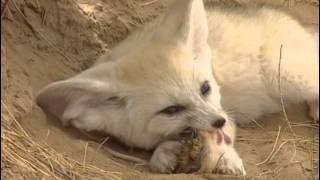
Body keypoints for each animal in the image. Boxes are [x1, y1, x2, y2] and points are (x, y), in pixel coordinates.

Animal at [37, 0, 318, 175]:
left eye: (205, 88)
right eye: (171, 110)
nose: (218, 122)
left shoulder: (225, 113)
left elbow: (222, 140)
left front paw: (226, 159)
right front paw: (163, 156)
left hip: (286, 75)